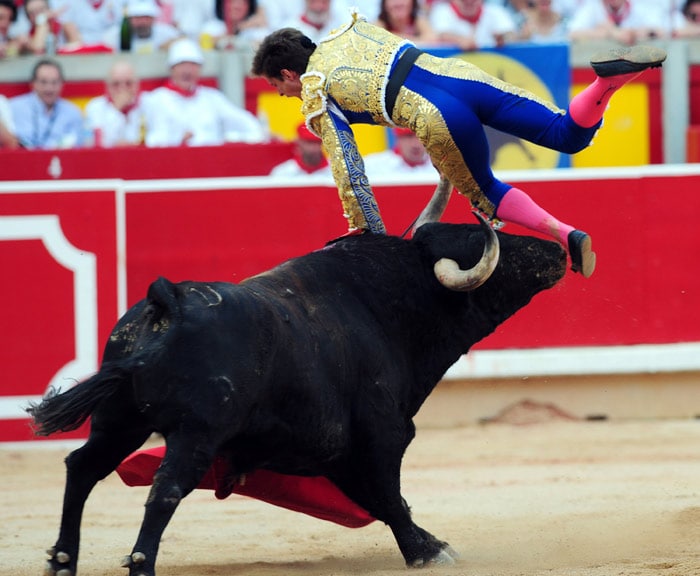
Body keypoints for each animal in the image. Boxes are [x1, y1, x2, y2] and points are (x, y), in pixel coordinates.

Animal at [28, 219, 568, 572]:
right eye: (486, 243)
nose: (558, 252)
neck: (389, 304)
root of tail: (169, 301)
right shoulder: (380, 435)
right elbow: (389, 496)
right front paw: (429, 552)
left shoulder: (333, 450)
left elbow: (383, 501)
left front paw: (430, 543)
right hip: (196, 434)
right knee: (165, 490)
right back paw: (140, 563)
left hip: (119, 422)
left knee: (82, 467)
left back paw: (63, 559)